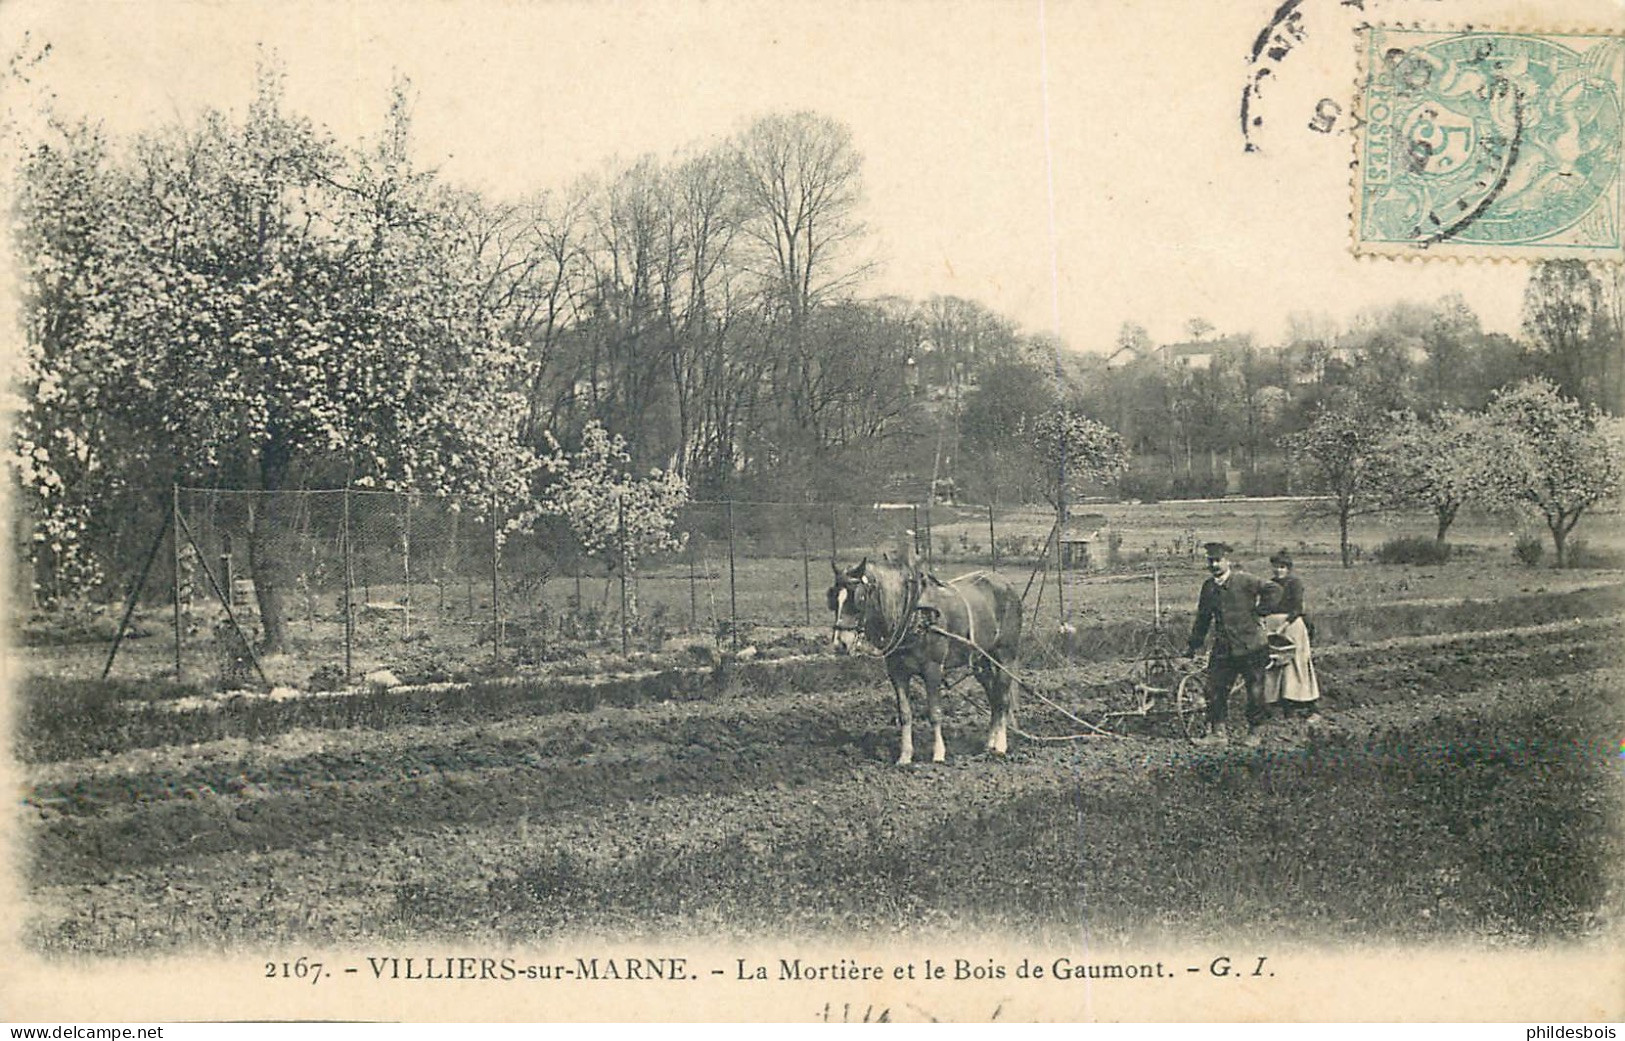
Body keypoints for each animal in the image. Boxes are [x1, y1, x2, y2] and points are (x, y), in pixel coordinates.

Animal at [832, 558, 1020, 763]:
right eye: (834, 600)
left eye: (859, 599)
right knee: (993, 698)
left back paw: (1000, 746)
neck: (913, 615)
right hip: (981, 661)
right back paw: (989, 743)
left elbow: (935, 713)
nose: (839, 644)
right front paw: (905, 756)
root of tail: (1005, 582)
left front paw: (938, 754)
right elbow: (905, 714)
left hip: (1005, 656)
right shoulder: (897, 673)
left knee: (1002, 699)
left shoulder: (933, 670)